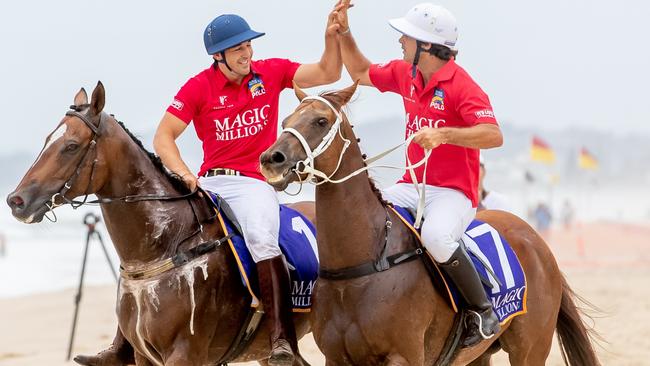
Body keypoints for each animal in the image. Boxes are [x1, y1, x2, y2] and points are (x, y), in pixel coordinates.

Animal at [4, 83, 314, 366]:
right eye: (47, 140)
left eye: (71, 146)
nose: (16, 200)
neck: (169, 245)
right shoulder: (144, 355)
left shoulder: (186, 354)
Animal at [256, 83, 596, 366]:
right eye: (285, 121)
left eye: (321, 121)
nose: (272, 159)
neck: (362, 265)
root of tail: (536, 240)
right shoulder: (336, 359)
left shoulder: (403, 357)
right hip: (480, 356)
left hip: (530, 348)